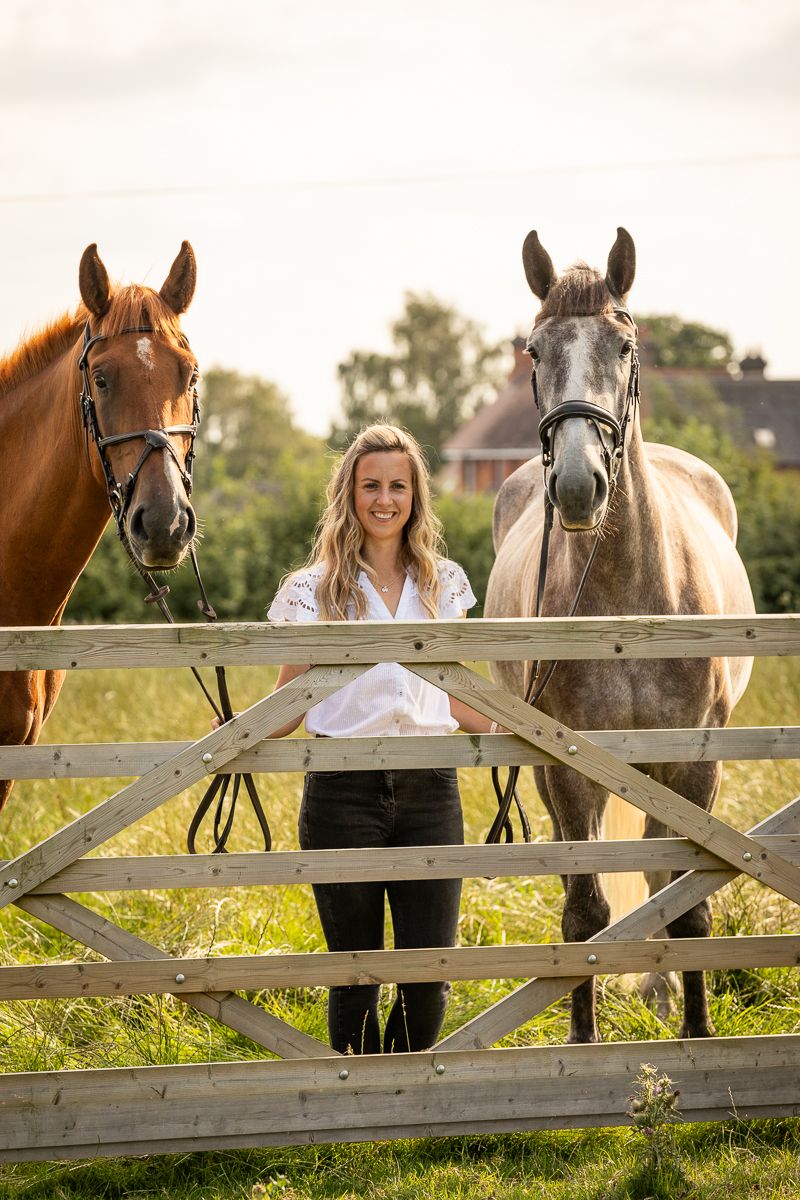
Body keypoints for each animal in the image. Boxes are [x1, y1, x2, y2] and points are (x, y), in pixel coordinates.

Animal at [485, 227, 754, 1043]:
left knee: (662, 877)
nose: (578, 486)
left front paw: (696, 1034)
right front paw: (583, 1037)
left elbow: (689, 908)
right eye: (535, 349)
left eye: (625, 346)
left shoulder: (694, 762)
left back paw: (664, 1000)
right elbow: (586, 910)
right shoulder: (569, 771)